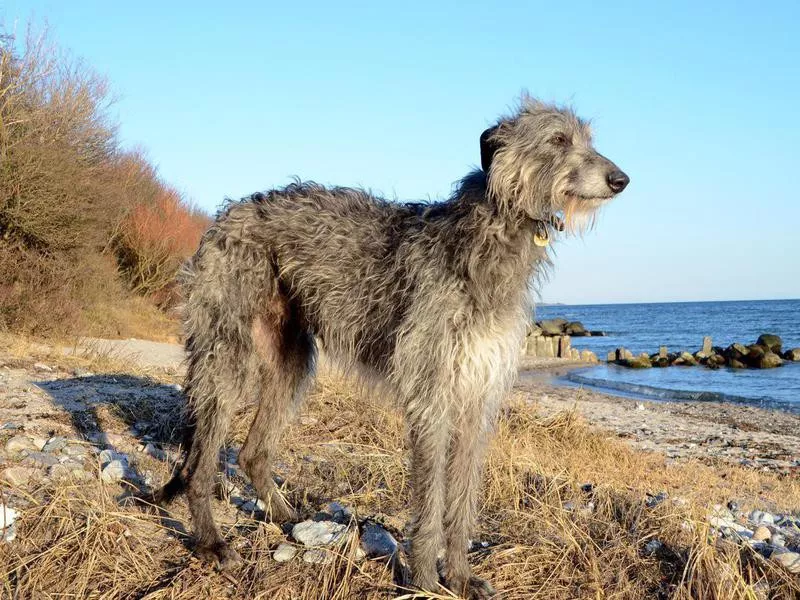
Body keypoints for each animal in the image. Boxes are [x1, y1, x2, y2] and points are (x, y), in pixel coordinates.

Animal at [147, 96, 628, 596]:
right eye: (558, 139)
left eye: (587, 139)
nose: (621, 180)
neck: (491, 233)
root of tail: (225, 216)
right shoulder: (432, 393)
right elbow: (432, 501)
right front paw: (425, 580)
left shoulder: (478, 394)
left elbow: (462, 500)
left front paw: (460, 577)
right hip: (228, 350)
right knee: (200, 465)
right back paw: (211, 542)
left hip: (290, 360)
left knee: (252, 452)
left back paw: (286, 517)